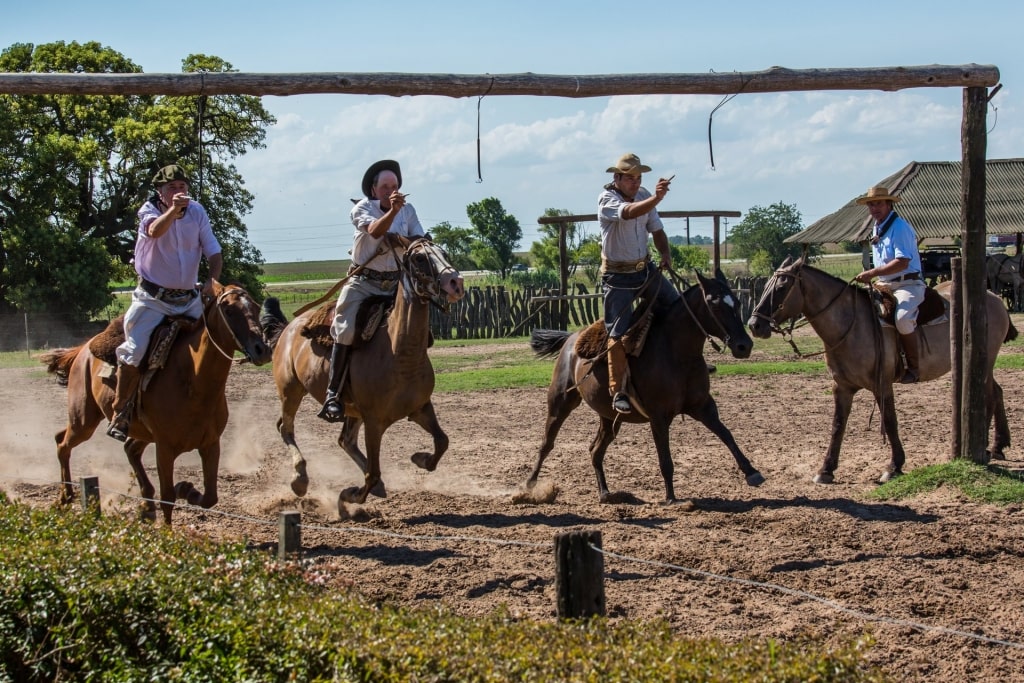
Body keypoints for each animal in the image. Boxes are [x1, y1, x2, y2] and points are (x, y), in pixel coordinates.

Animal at [40, 282, 272, 524]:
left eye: (256, 307)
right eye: (228, 310)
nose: (262, 349)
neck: (193, 382)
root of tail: (83, 349)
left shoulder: (211, 444)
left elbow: (210, 497)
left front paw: (186, 490)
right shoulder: (164, 447)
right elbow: (168, 496)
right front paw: (167, 529)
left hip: (135, 430)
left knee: (128, 449)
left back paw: (146, 505)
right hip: (83, 420)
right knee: (63, 444)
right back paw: (65, 496)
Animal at [268, 237, 468, 505]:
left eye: (444, 253)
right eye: (419, 258)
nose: (456, 283)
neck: (400, 353)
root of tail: (289, 329)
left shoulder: (421, 408)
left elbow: (442, 441)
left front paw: (421, 458)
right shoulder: (374, 421)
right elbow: (373, 473)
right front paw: (351, 495)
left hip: (351, 410)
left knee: (345, 440)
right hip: (291, 391)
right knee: (286, 428)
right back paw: (300, 478)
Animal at [528, 270, 761, 505]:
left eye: (737, 303)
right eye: (715, 305)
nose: (744, 345)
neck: (677, 352)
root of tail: (571, 339)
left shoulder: (703, 406)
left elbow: (727, 435)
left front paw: (752, 472)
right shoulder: (658, 416)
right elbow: (665, 459)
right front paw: (671, 498)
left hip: (609, 418)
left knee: (595, 450)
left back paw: (605, 492)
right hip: (560, 402)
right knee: (547, 443)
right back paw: (529, 486)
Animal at [745, 253, 1015, 483]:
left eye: (781, 287)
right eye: (767, 285)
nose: (755, 324)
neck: (851, 325)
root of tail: (993, 297)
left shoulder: (881, 385)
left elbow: (889, 421)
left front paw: (894, 466)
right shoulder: (842, 388)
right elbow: (837, 425)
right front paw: (826, 469)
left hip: (984, 361)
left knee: (988, 396)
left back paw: (988, 447)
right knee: (997, 392)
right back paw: (998, 446)